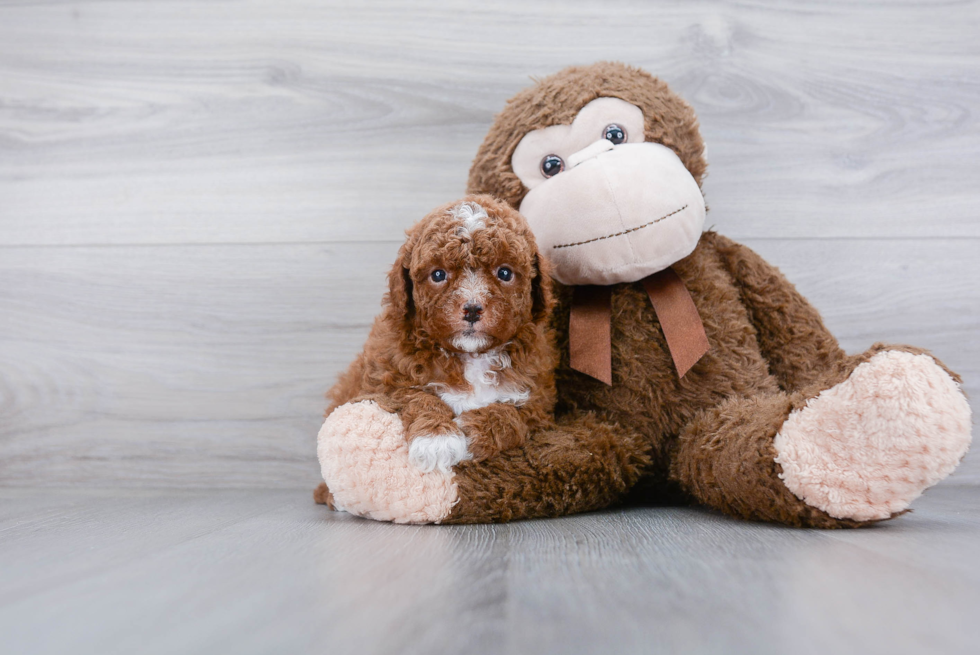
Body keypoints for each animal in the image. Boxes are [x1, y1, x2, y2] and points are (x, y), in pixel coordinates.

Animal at [326, 193, 556, 472]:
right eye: (438, 274)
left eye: (504, 272)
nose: (472, 309)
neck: (471, 356)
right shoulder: (381, 383)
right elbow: (414, 395)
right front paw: (436, 438)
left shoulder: (538, 404)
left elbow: (509, 416)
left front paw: (468, 430)